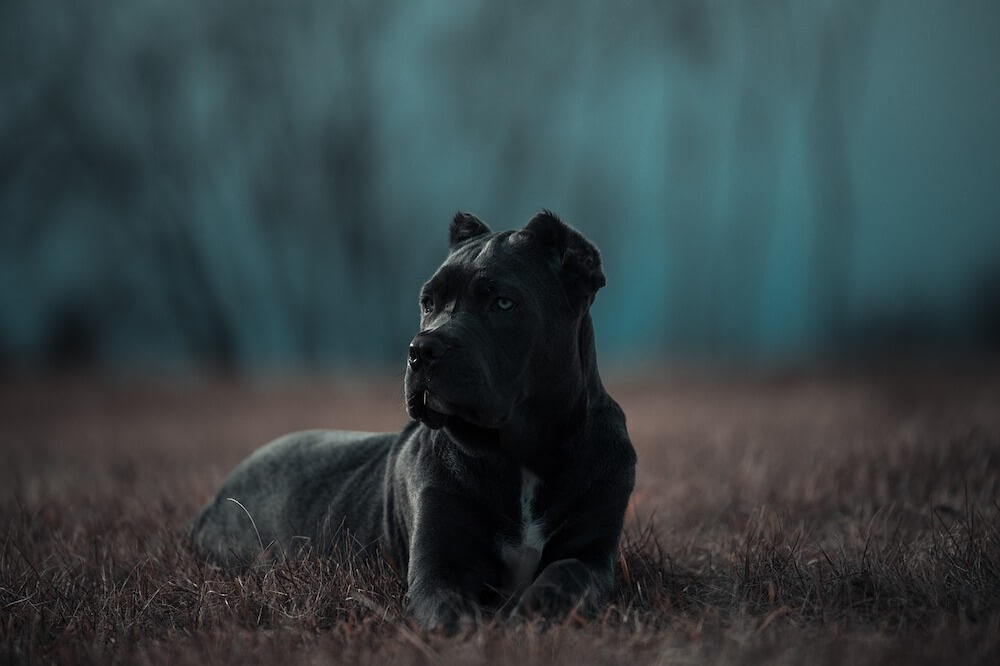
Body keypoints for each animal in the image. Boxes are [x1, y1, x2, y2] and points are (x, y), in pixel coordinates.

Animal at [191, 211, 636, 628]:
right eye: (428, 303)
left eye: (503, 303)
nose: (421, 349)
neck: (521, 455)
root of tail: (215, 498)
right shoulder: (439, 565)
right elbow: (448, 606)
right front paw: (475, 629)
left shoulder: (593, 552)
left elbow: (568, 573)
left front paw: (533, 609)